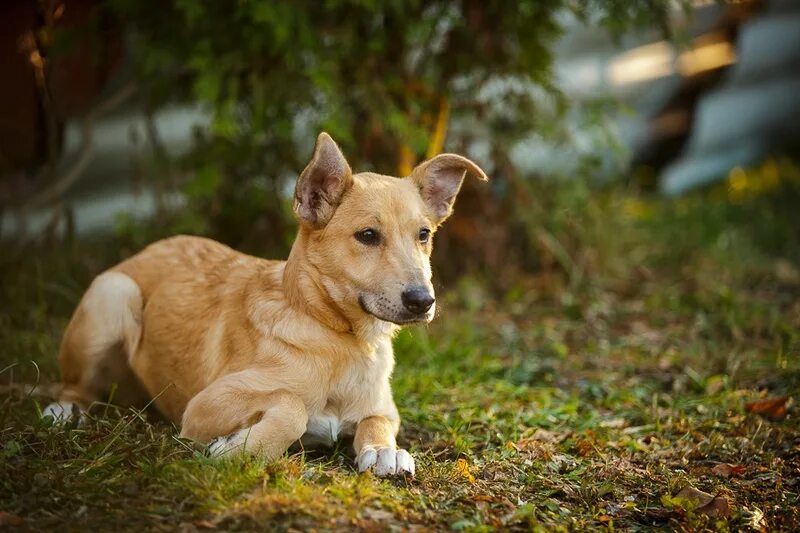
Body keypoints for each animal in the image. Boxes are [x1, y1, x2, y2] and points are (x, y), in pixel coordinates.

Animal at [42, 132, 488, 474]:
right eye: (367, 236)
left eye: (424, 235)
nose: (422, 301)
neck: (341, 340)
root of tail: (148, 249)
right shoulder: (202, 407)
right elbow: (290, 406)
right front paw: (238, 448)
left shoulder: (383, 407)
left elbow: (376, 422)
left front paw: (383, 452)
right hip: (114, 295)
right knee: (73, 387)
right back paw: (64, 412)